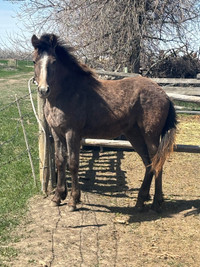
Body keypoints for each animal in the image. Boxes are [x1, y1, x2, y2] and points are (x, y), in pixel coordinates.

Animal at [30, 34, 177, 214]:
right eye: (34, 61)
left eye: (54, 61)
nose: (43, 90)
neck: (67, 93)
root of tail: (164, 94)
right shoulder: (57, 133)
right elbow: (60, 162)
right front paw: (58, 197)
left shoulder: (72, 133)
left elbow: (72, 164)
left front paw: (73, 201)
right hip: (135, 136)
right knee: (149, 164)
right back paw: (141, 201)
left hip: (151, 137)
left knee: (157, 162)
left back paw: (156, 203)